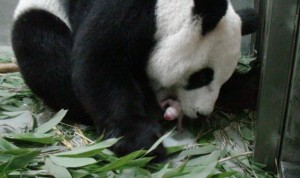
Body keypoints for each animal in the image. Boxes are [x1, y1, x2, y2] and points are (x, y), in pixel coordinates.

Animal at [11, 0, 258, 160]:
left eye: (222, 80)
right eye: (202, 76)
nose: (201, 112)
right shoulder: (126, 12)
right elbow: (100, 62)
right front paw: (142, 140)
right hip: (43, 15)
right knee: (46, 49)